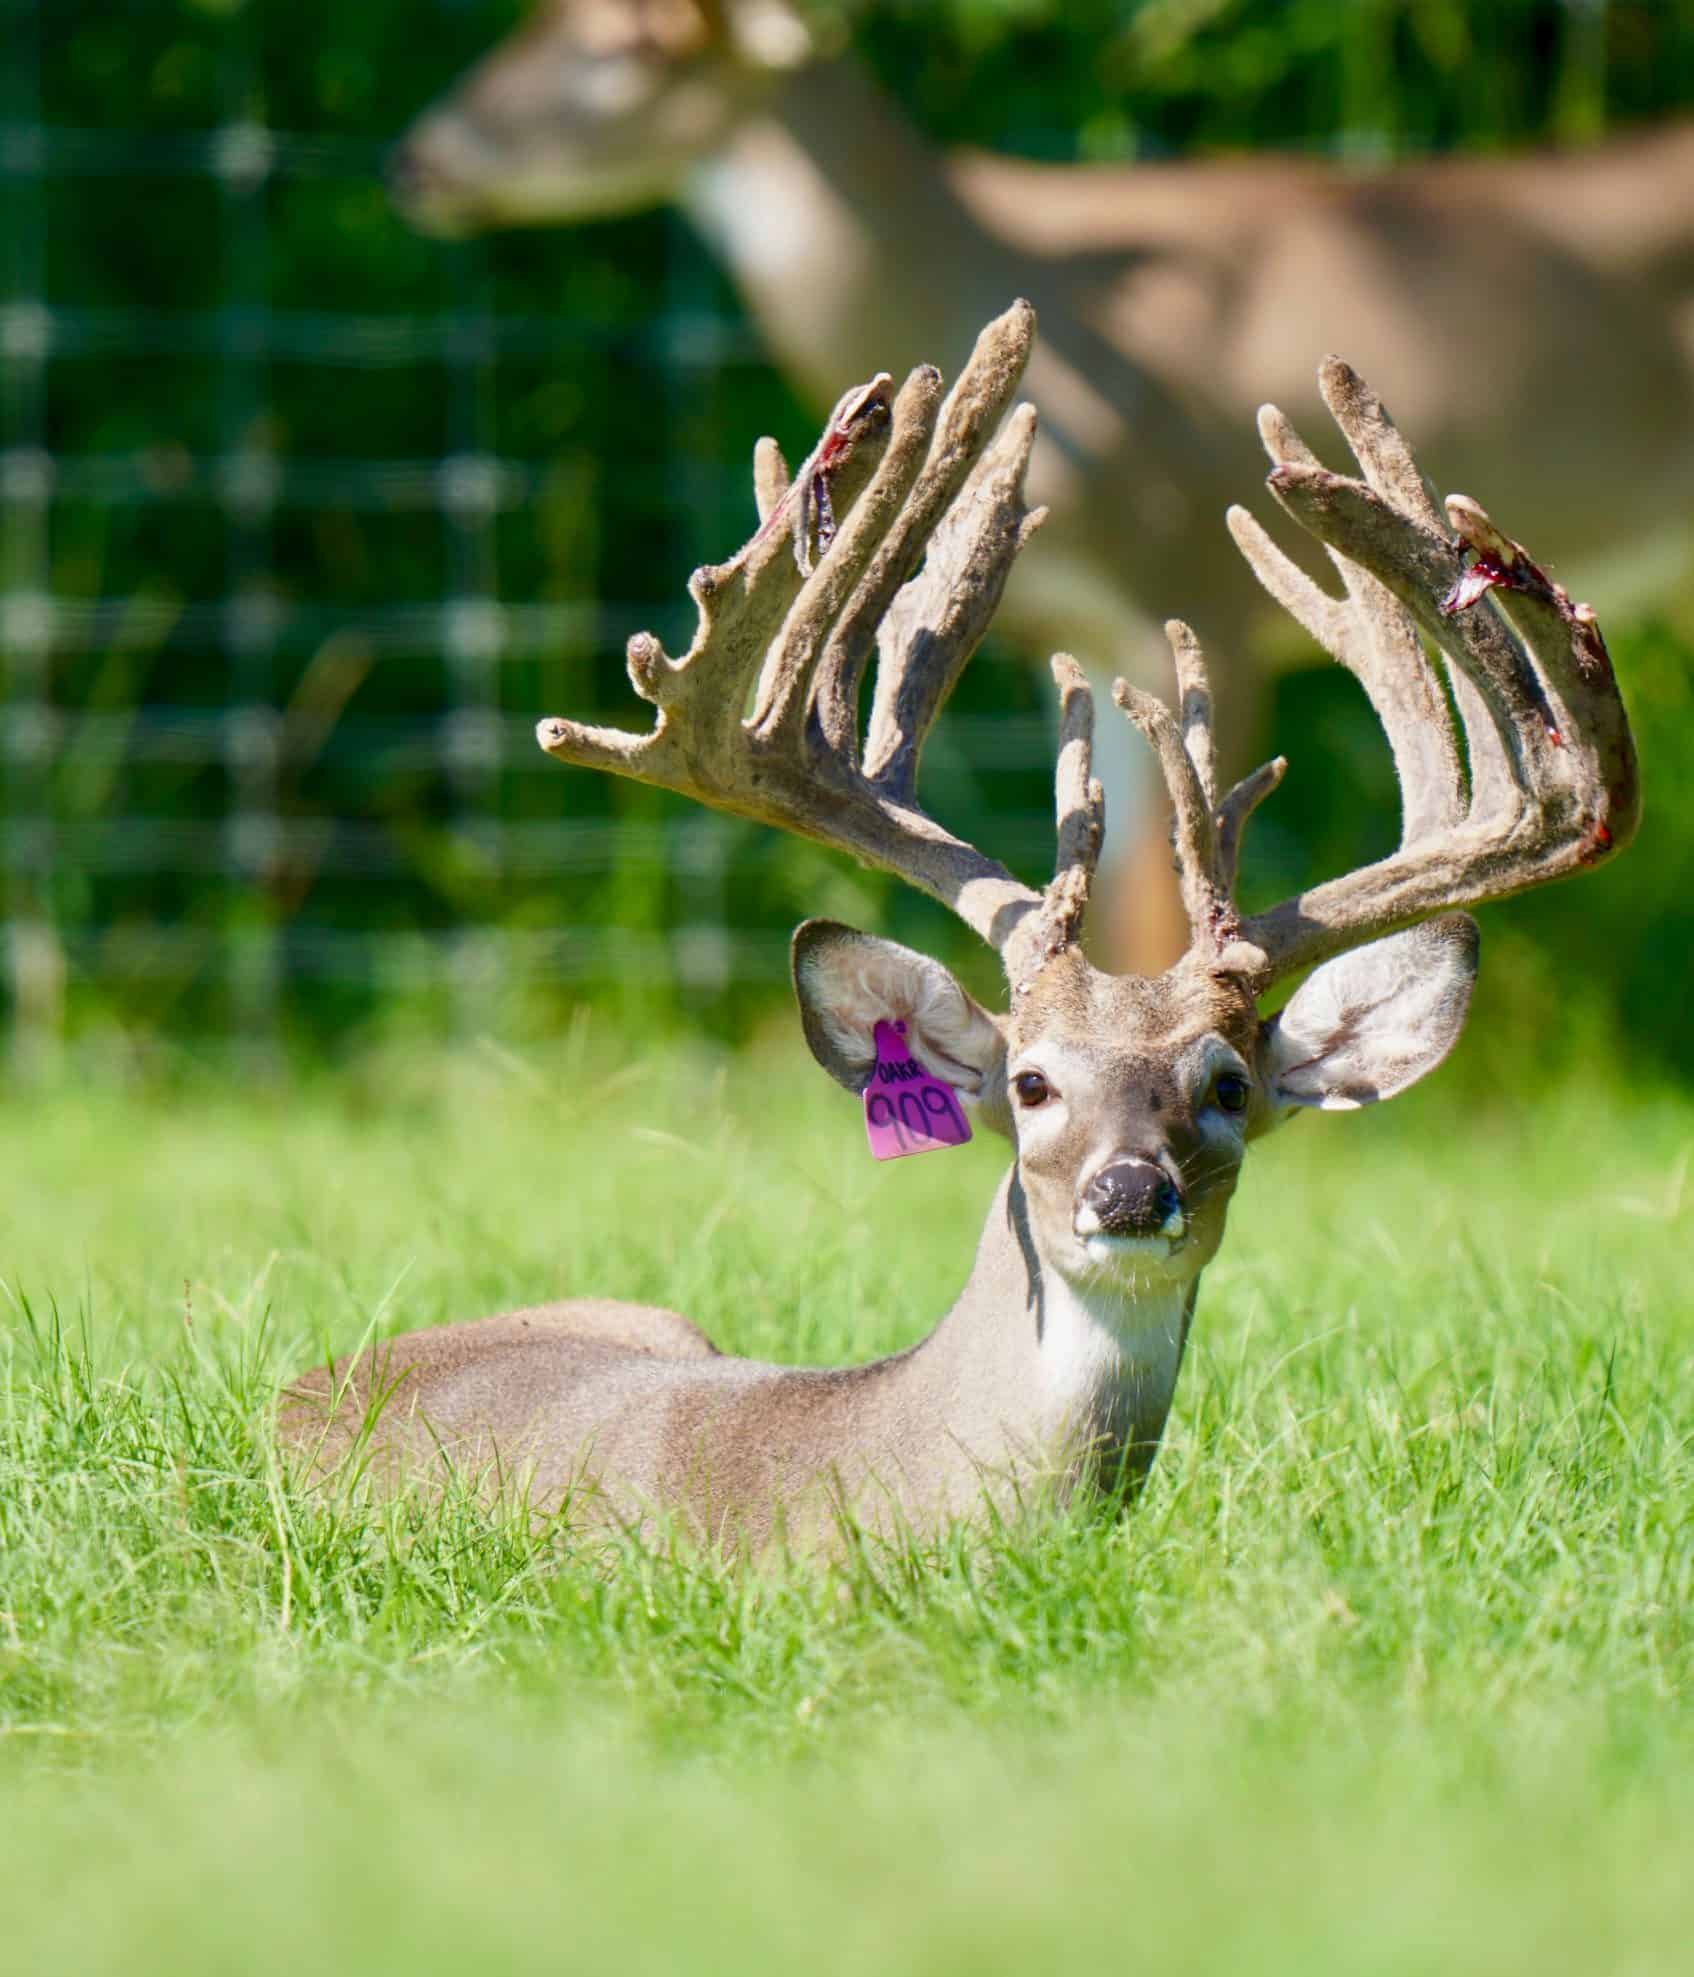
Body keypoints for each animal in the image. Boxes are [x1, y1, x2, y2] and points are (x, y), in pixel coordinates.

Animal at [389, 0, 1688, 957]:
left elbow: (1167, 902)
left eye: (629, 48)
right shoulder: (1079, 630)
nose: (418, 158)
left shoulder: (1195, 579)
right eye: (544, 14)